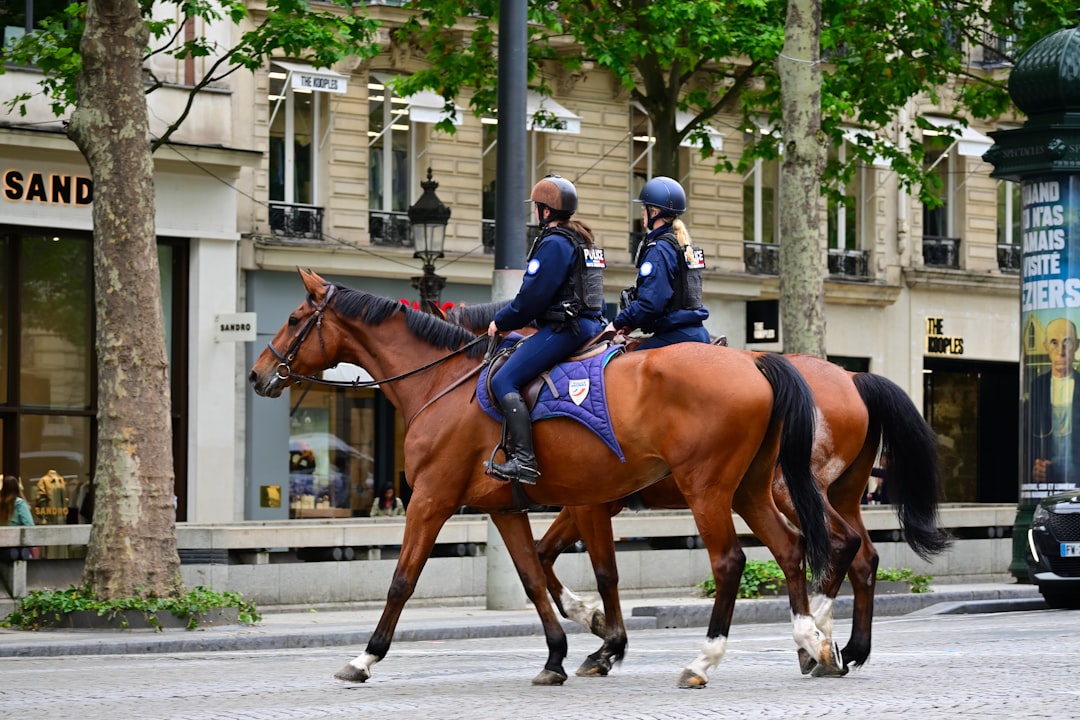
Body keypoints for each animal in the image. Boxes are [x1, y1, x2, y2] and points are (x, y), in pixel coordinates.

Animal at [249, 268, 834, 687]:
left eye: (296, 318)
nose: (258, 374)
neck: (443, 383)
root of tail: (756, 363)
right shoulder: (508, 507)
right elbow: (536, 576)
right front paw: (563, 651)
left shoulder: (433, 500)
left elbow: (403, 580)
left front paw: (365, 657)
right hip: (749, 489)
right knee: (792, 547)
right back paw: (812, 641)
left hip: (707, 488)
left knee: (732, 561)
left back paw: (707, 659)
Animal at [447, 302, 951, 676]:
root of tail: (850, 377)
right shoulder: (588, 504)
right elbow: (547, 557)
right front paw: (594, 626)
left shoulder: (589, 503)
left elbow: (597, 570)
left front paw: (604, 640)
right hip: (835, 494)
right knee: (862, 556)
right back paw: (844, 646)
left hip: (787, 490)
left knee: (836, 545)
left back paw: (816, 637)